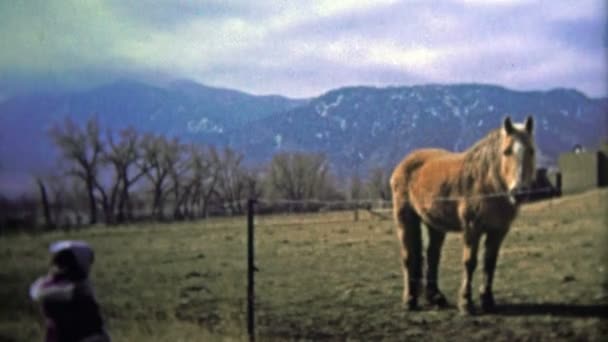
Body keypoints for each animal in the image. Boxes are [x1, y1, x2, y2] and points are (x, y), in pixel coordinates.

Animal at [392, 116, 536, 314]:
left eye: (531, 151)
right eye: (506, 151)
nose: (519, 192)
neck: (486, 183)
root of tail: (404, 163)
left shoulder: (498, 231)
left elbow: (489, 263)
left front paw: (487, 301)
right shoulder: (472, 229)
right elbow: (470, 262)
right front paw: (466, 302)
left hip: (435, 225)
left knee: (433, 256)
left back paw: (435, 297)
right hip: (405, 219)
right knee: (408, 257)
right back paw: (409, 300)